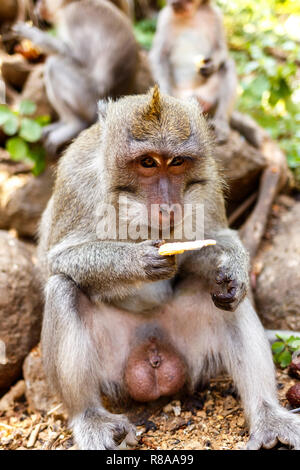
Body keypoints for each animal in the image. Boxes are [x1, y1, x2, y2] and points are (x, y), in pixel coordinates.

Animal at [12, 0, 152, 152]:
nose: (37, 6)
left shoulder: (74, 17)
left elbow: (75, 56)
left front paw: (34, 35)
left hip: (89, 100)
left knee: (54, 66)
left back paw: (75, 125)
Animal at [37, 86, 300, 450]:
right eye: (147, 162)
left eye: (176, 162)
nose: (167, 207)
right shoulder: (77, 180)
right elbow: (58, 258)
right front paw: (139, 261)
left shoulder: (208, 181)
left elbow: (216, 237)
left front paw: (234, 268)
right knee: (63, 287)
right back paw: (89, 417)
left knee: (225, 301)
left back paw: (268, 416)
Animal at [150, 0, 237, 144]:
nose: (174, 2)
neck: (191, 13)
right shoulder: (165, 18)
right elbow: (159, 56)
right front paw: (164, 96)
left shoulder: (215, 16)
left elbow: (220, 47)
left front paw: (211, 66)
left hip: (207, 95)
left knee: (227, 66)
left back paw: (221, 123)